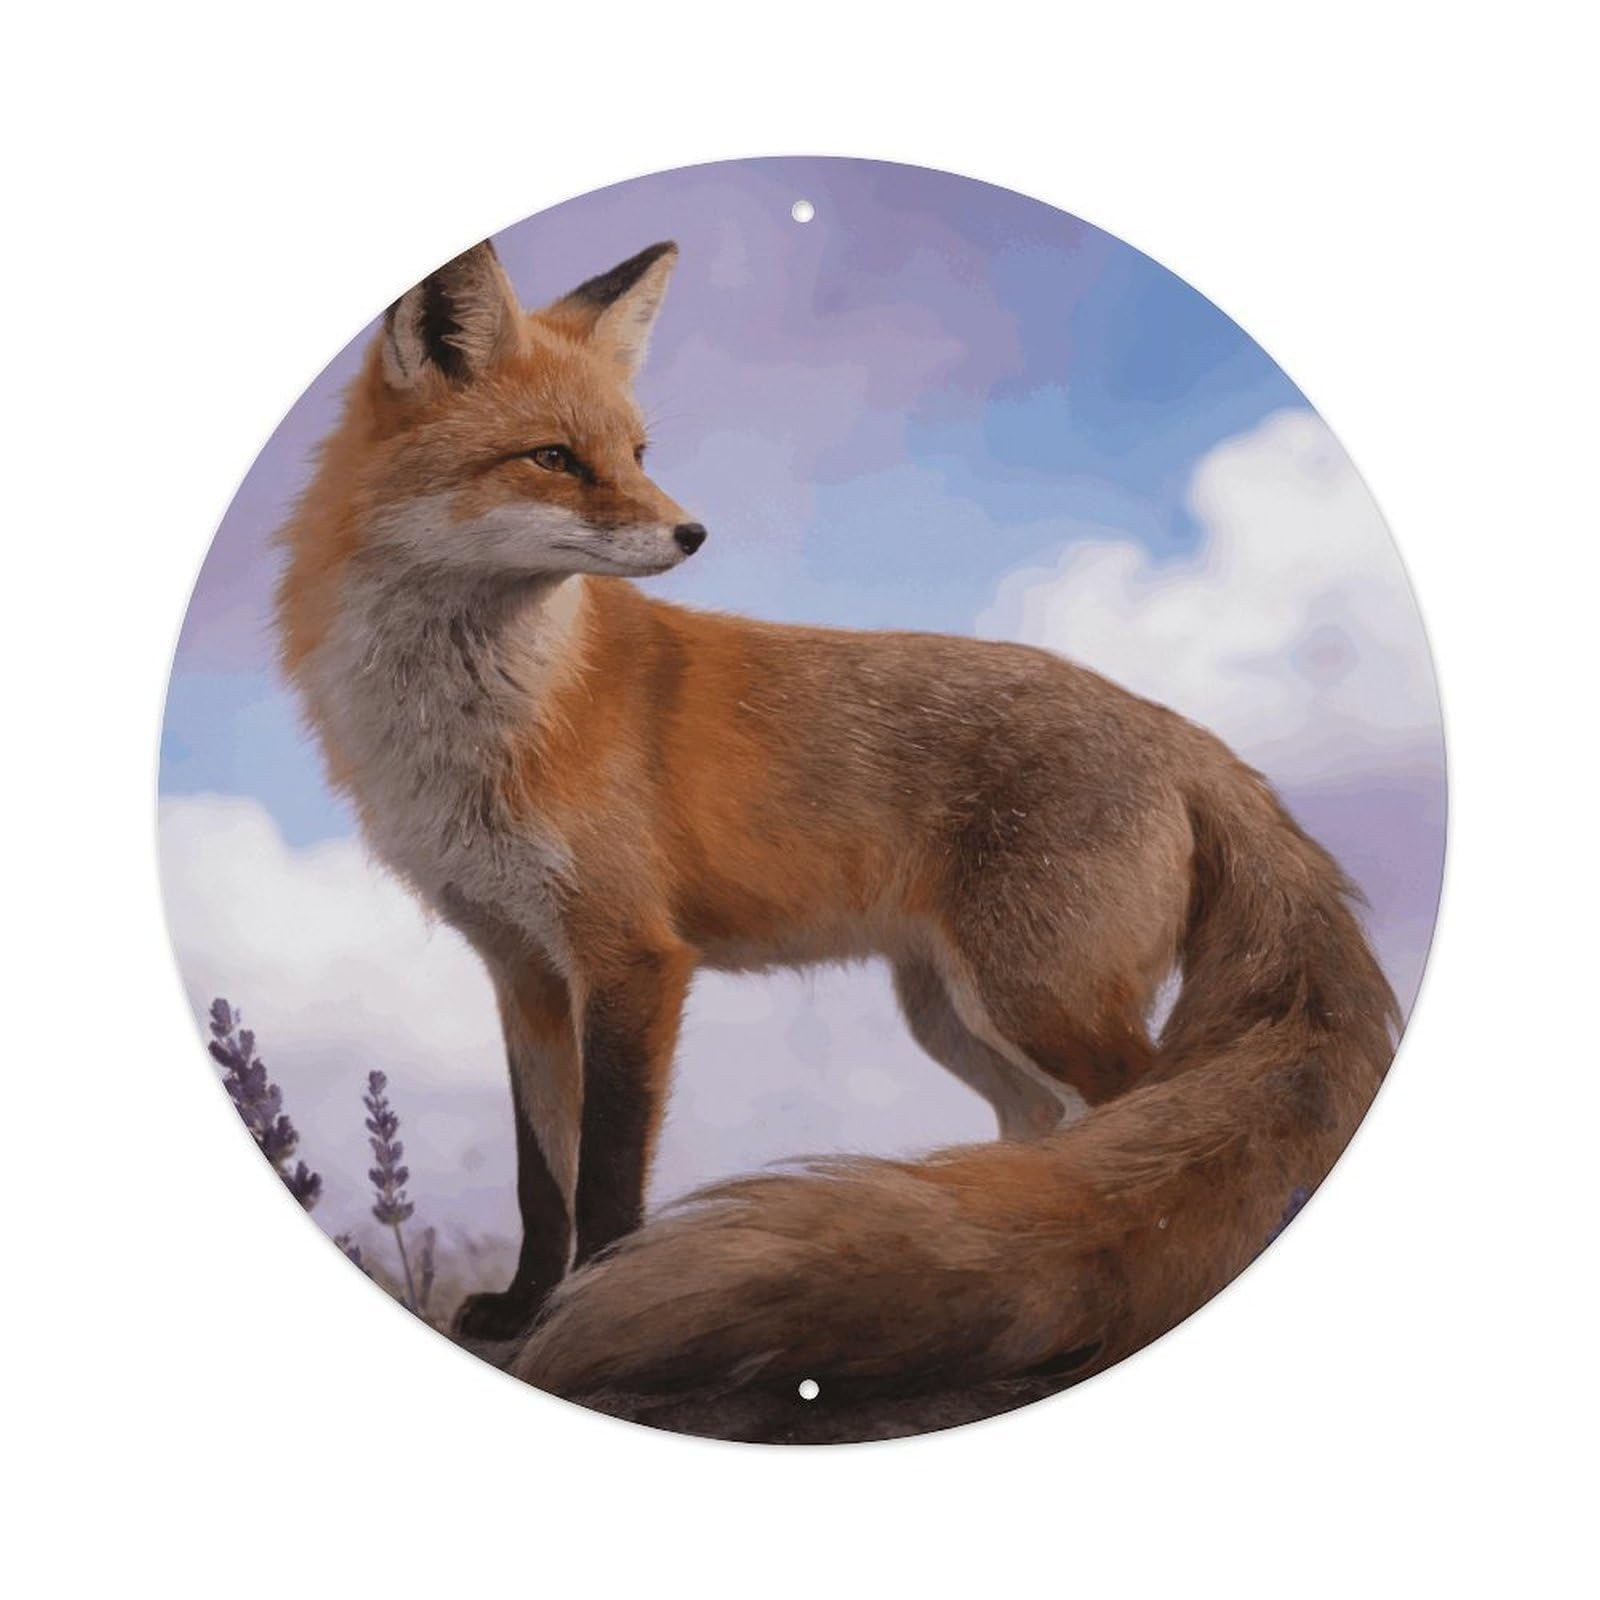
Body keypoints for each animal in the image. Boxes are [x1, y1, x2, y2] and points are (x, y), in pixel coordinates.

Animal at [277, 236, 1399, 1441]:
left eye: (635, 453)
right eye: (552, 458)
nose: (693, 532)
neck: (484, 725)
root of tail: (1185, 733)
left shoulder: (633, 956)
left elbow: (609, 1171)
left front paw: (594, 1302)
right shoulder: (523, 968)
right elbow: (543, 1175)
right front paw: (525, 1305)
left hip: (1039, 998)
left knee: (1142, 1131)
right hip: (959, 1018)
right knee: (1041, 1151)